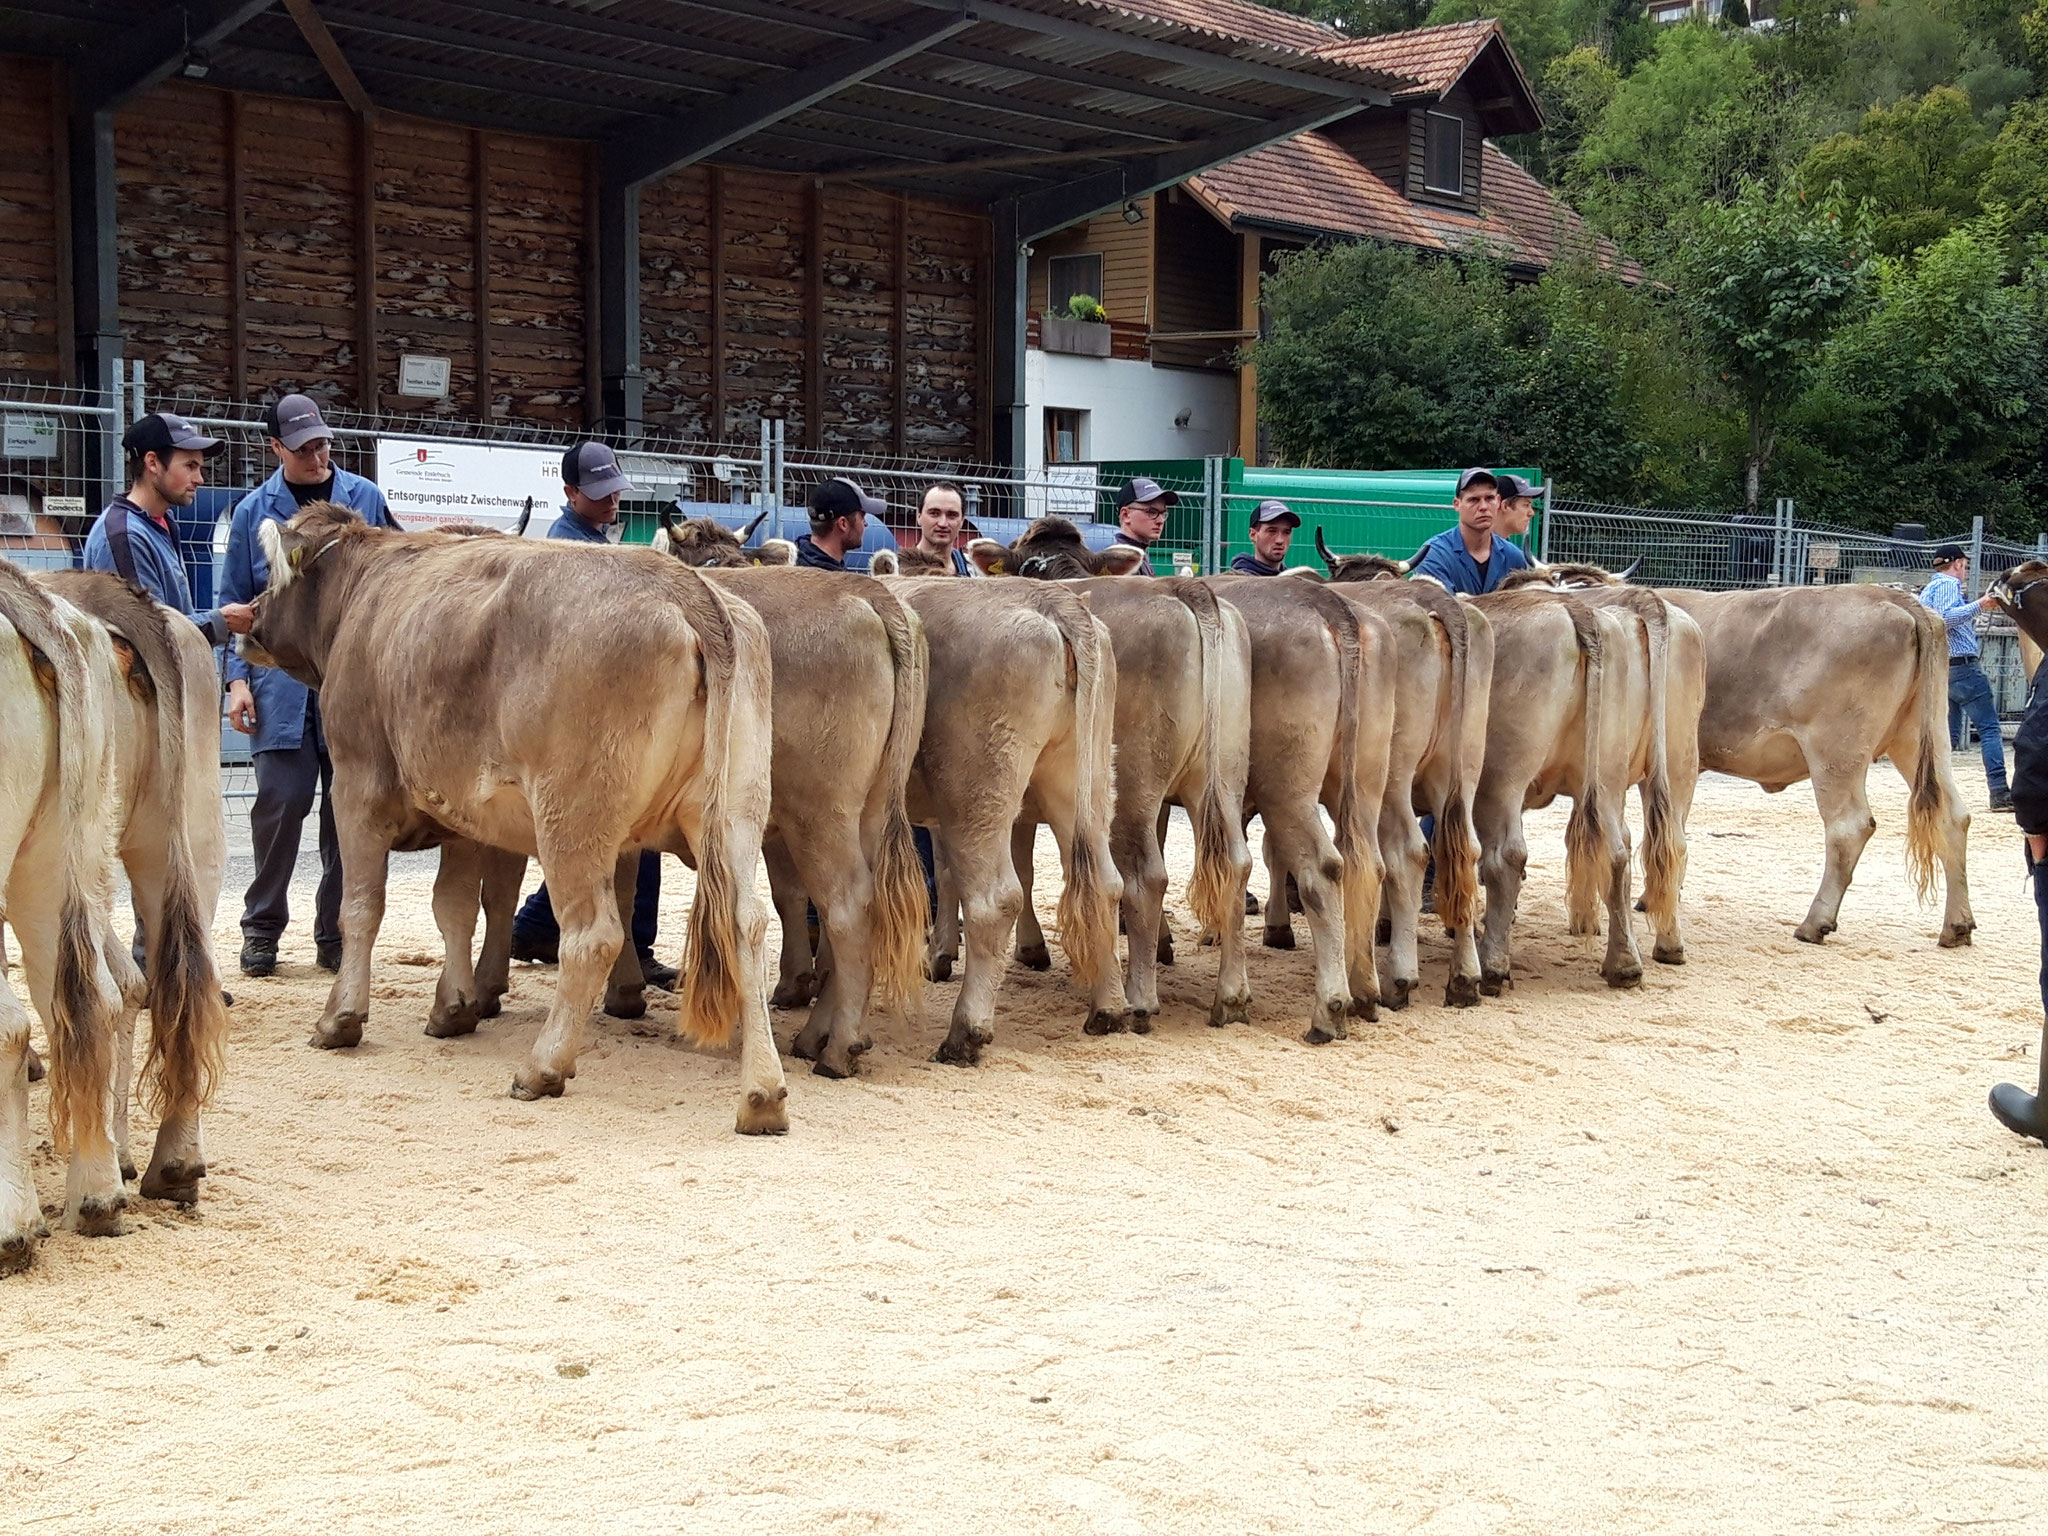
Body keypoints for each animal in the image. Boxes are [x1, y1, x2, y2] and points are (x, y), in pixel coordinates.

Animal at [241, 501, 782, 1130]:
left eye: (271, 571)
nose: (247, 616)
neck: (368, 587)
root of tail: (686, 588)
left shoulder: (356, 787)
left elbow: (362, 907)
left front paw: (341, 1018)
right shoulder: (464, 812)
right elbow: (455, 906)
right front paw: (454, 1007)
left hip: (573, 818)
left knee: (592, 936)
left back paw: (542, 1067)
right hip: (733, 815)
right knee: (747, 924)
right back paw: (763, 1094)